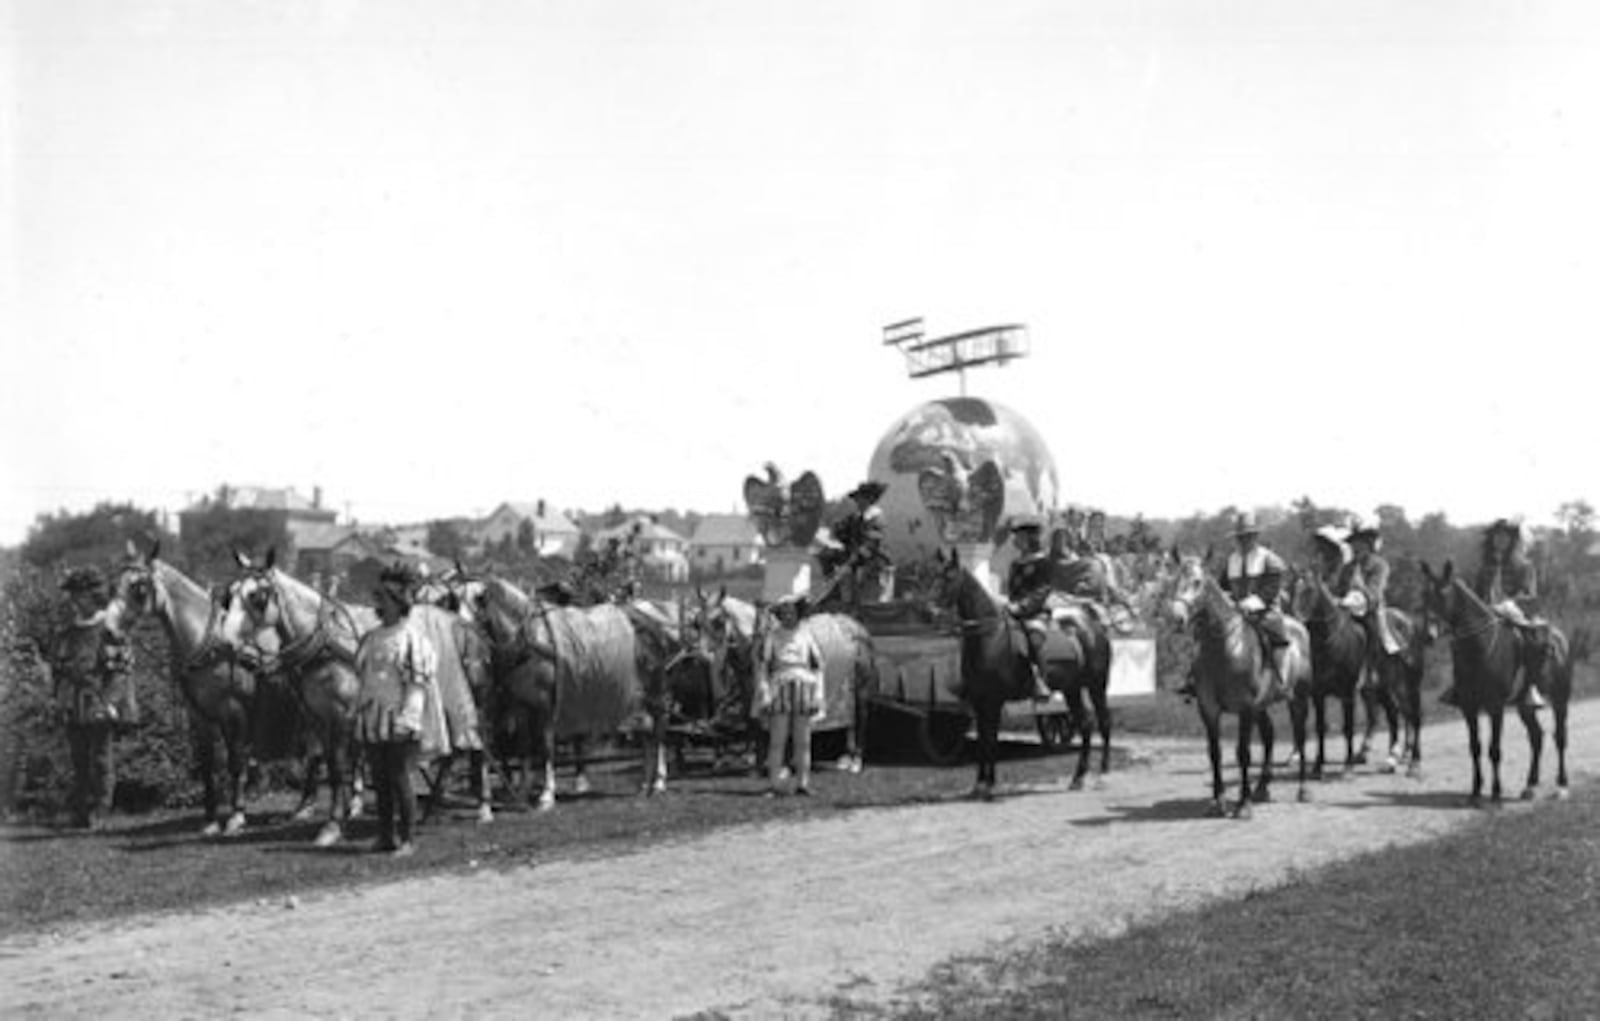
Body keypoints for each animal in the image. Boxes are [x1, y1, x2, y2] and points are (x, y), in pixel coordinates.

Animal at [928, 550, 1113, 800]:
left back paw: (1103, 774)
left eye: (949, 577)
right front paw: (980, 784)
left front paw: (989, 785)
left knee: (1104, 722)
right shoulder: (979, 701)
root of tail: (1095, 627)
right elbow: (984, 739)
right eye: (934, 574)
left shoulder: (994, 701)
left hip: (1096, 686)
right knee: (1085, 724)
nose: (930, 610)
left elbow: (991, 740)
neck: (989, 636)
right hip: (1072, 689)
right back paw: (1078, 778)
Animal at [1164, 556, 1312, 819]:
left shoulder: (1245, 708)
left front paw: (1243, 804)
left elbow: (1243, 753)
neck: (1224, 647)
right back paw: (1262, 787)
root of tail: (1298, 627)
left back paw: (1303, 789)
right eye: (1174, 581)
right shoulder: (1209, 709)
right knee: (1269, 735)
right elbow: (1215, 752)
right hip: (1262, 707)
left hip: (1298, 699)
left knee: (1300, 736)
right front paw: (1217, 801)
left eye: (1197, 582)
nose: (1177, 617)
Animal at [1420, 560, 1568, 806]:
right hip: (1525, 706)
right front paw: (1475, 791)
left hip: (1560, 699)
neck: (1478, 647)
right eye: (1424, 595)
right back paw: (1530, 786)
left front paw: (1496, 793)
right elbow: (1475, 747)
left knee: (1560, 737)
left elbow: (1495, 749)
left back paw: (1562, 785)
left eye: (1443, 594)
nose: (1427, 635)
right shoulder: (1469, 707)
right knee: (1536, 737)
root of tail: (1560, 638)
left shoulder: (1495, 706)